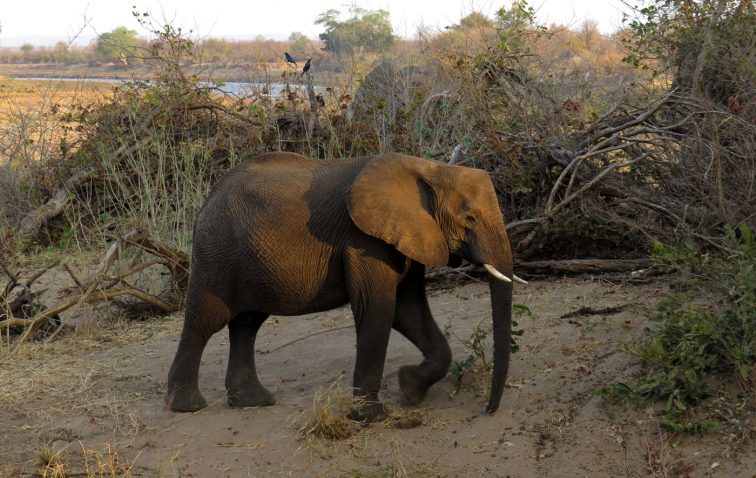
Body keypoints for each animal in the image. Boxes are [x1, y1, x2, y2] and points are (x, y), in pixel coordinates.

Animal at [166, 151, 525, 422]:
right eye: (470, 219)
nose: (487, 411)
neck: (428, 169)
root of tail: (206, 199)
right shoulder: (365, 241)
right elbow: (378, 311)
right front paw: (370, 418)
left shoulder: (406, 237)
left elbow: (408, 312)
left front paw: (409, 389)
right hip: (217, 254)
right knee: (204, 322)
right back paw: (186, 406)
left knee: (247, 324)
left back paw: (253, 401)